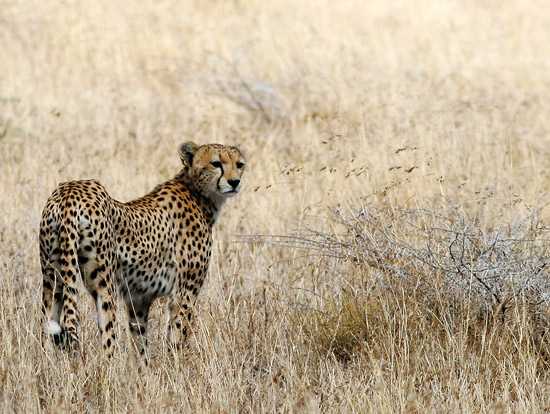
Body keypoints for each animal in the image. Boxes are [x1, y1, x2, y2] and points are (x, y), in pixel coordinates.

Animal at [38, 142, 246, 356]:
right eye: (216, 163)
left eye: (239, 164)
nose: (235, 182)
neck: (197, 193)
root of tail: (70, 191)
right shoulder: (184, 293)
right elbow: (176, 340)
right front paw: (176, 363)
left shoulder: (139, 298)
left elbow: (140, 344)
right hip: (104, 286)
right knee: (107, 344)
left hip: (52, 278)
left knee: (46, 328)